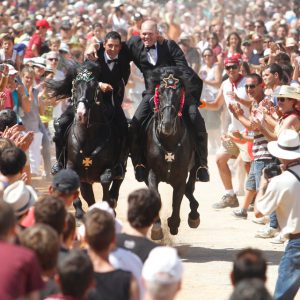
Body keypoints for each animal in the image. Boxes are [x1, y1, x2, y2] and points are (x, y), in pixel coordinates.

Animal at [47, 61, 124, 209]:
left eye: (94, 87)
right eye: (75, 87)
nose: (81, 114)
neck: (87, 137)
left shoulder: (107, 169)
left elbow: (106, 182)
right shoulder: (73, 168)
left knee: (117, 183)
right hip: (85, 181)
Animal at [144, 67, 200, 238]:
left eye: (178, 94)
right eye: (160, 93)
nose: (167, 125)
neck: (169, 142)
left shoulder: (181, 177)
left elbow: (178, 199)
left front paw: (173, 224)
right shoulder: (152, 173)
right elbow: (155, 196)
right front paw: (156, 227)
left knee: (190, 188)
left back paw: (194, 215)